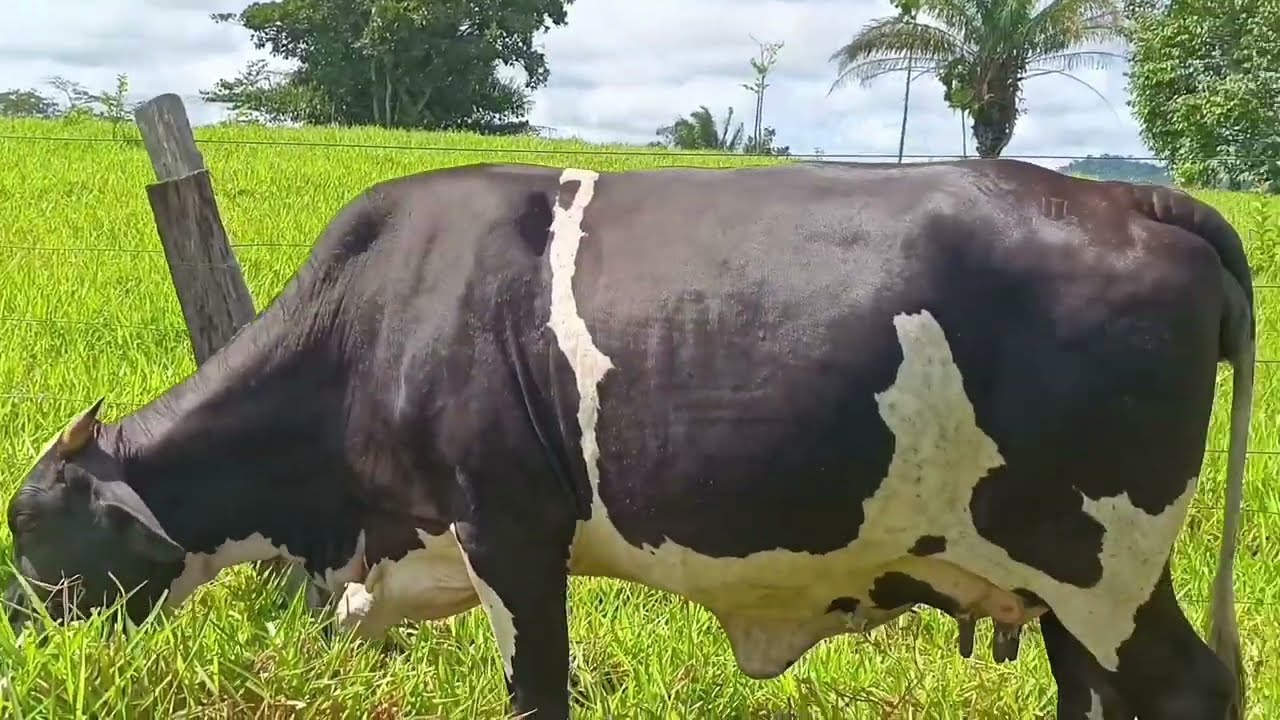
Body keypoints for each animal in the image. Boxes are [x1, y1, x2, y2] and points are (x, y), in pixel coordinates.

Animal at [3, 158, 1254, 720]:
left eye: (31, 530)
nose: (21, 645)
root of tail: (1131, 198)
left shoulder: (510, 534)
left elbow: (535, 696)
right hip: (1059, 590)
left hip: (1100, 564)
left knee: (1185, 689)